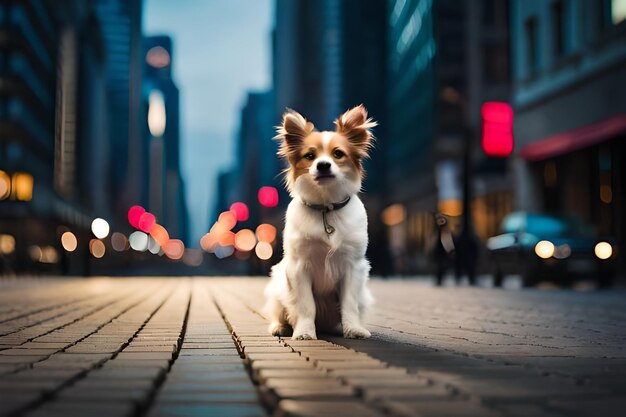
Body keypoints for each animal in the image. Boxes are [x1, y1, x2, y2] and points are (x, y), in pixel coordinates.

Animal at [264, 103, 376, 338]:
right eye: (309, 156)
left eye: (338, 154)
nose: (323, 165)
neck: (326, 208)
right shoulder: (298, 268)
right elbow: (306, 306)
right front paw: (305, 332)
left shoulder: (353, 267)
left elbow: (349, 304)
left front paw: (353, 329)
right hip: (277, 286)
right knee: (280, 311)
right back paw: (280, 327)